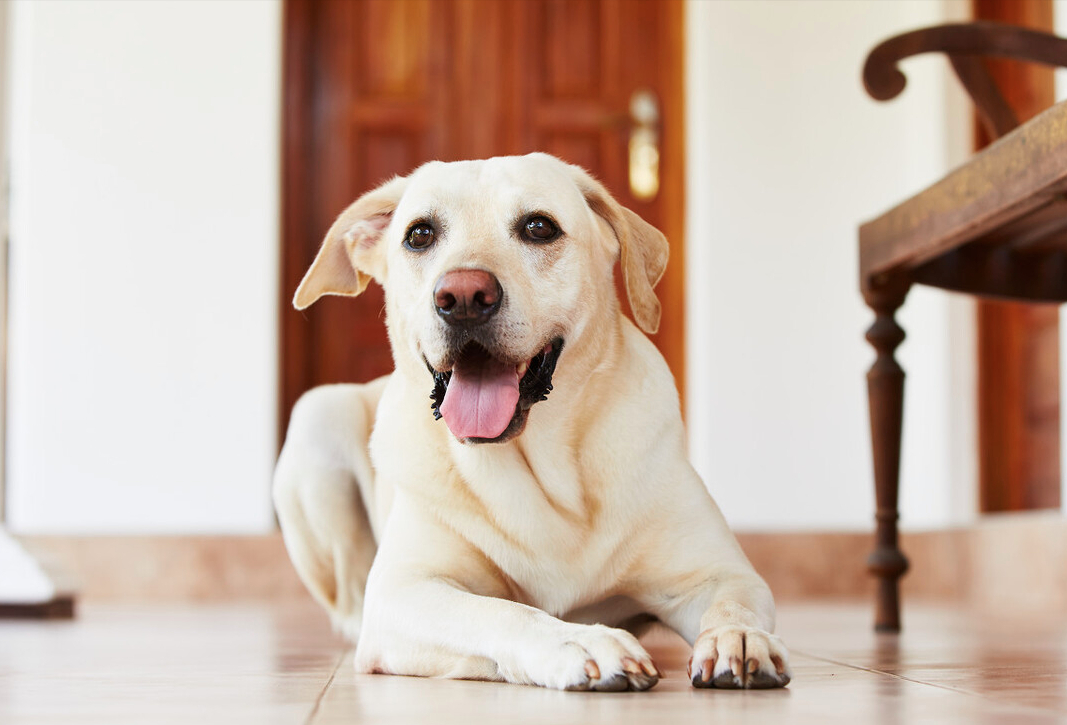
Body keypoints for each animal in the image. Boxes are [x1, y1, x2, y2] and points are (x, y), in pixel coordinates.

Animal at [275, 152, 793, 691]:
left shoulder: (722, 574)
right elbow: (499, 612)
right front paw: (582, 642)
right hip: (317, 417)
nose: (463, 296)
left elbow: (733, 604)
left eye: (539, 227)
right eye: (419, 234)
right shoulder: (403, 591)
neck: (544, 469)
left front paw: (739, 637)